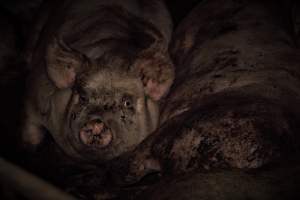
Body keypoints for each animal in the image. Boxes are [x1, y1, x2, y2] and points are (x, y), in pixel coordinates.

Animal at [21, 0, 173, 162]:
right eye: (83, 97)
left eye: (127, 103)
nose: (96, 122)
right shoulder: (34, 93)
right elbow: (30, 122)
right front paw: (29, 148)